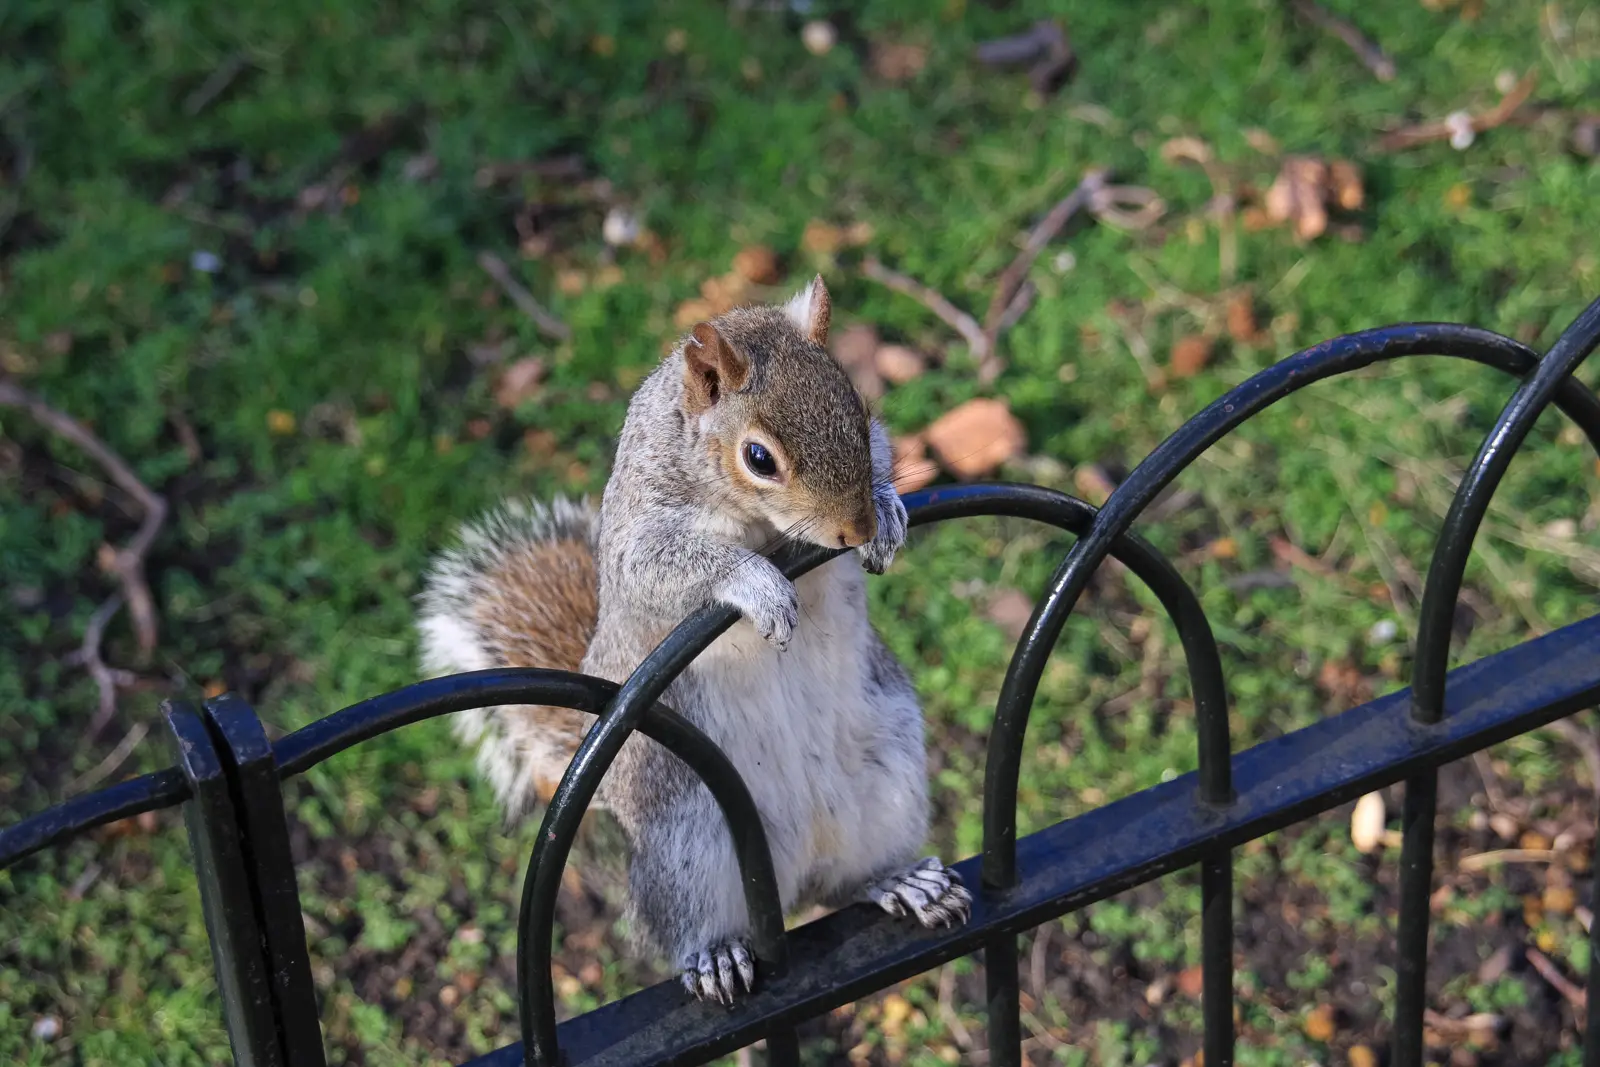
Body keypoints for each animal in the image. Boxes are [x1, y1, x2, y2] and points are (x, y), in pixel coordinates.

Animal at [417, 276, 971, 1003]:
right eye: (759, 458)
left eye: (859, 409)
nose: (855, 529)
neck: (754, 517)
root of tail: (795, 874)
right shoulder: (642, 528)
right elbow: (668, 564)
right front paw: (759, 584)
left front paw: (889, 510)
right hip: (687, 841)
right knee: (688, 921)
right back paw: (714, 955)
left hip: (890, 780)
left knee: (849, 882)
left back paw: (901, 881)